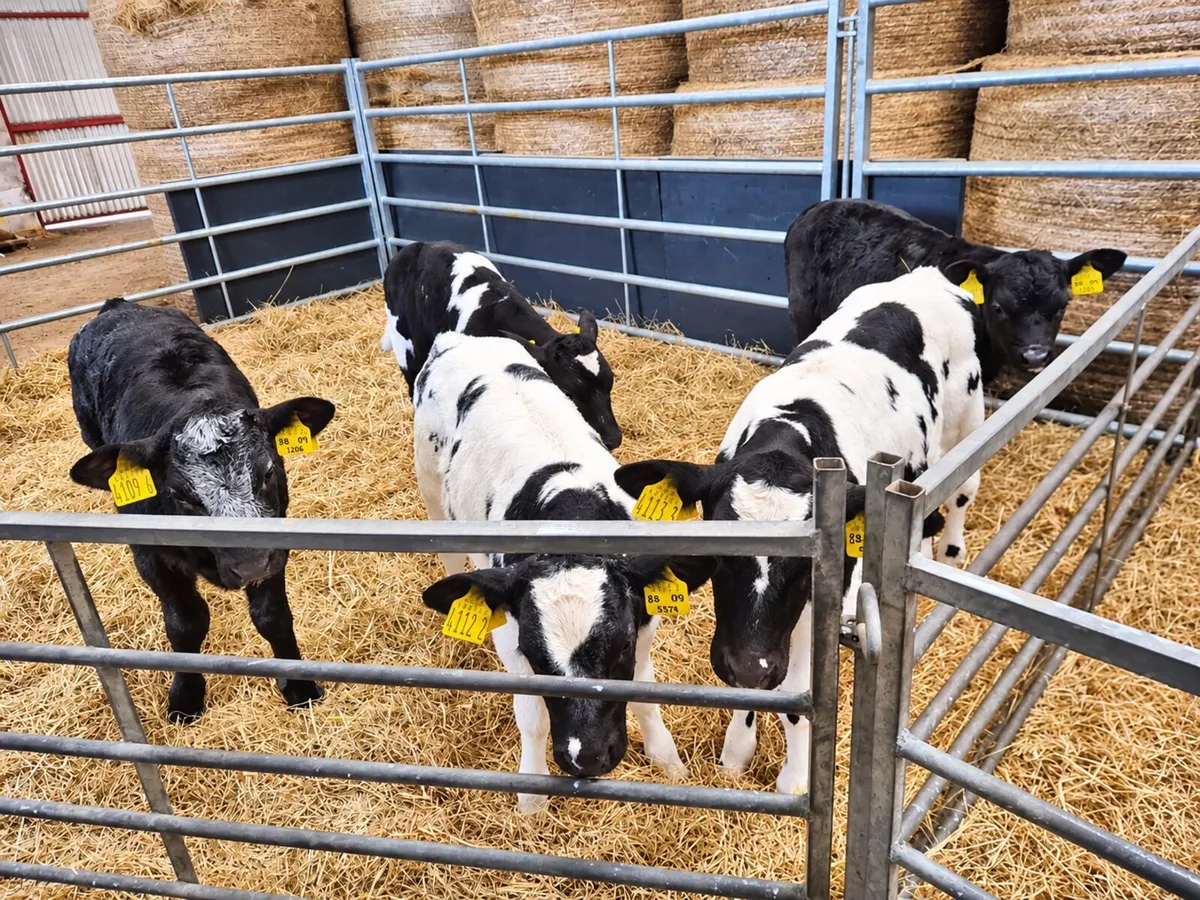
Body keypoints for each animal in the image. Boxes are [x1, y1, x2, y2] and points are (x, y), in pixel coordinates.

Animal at [67, 298, 336, 723]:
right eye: (181, 496)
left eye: (268, 472)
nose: (250, 566)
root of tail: (117, 306)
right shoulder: (152, 556)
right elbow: (186, 624)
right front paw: (186, 696)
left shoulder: (276, 541)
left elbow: (272, 615)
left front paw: (300, 686)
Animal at [413, 330, 714, 812]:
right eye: (536, 655)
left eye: (620, 646)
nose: (585, 757)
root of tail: (459, 337)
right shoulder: (509, 636)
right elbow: (532, 717)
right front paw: (531, 798)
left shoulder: (643, 621)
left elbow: (646, 697)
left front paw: (668, 761)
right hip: (429, 478)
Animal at [615, 266, 982, 795]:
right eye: (719, 553)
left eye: (805, 567)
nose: (749, 666)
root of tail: (925, 275)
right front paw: (736, 752)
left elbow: (797, 694)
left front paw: (794, 779)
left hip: (966, 420)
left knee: (960, 492)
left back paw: (949, 551)